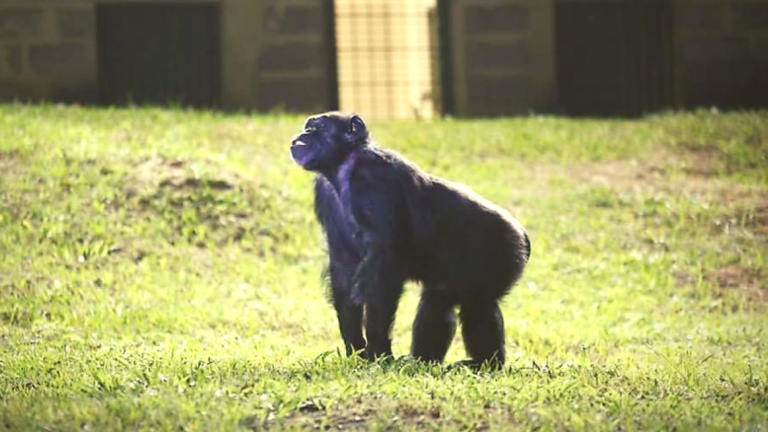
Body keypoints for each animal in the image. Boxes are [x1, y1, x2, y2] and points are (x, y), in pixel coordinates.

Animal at [288, 111, 528, 368]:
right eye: (308, 125)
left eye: (319, 127)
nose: (303, 134)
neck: (342, 165)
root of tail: (523, 236)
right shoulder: (324, 194)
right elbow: (343, 267)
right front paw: (355, 348)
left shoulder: (373, 178)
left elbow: (383, 265)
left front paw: (378, 350)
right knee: (438, 302)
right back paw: (424, 362)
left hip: (504, 251)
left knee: (478, 304)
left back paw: (485, 363)